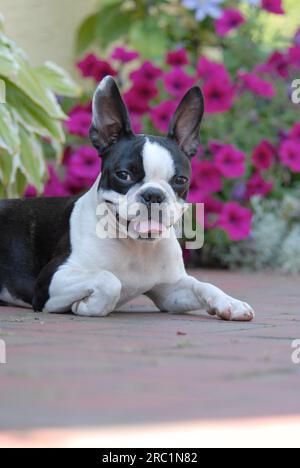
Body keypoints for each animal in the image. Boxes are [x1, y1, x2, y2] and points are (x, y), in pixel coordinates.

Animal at [0, 78, 254, 324]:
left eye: (180, 180)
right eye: (124, 175)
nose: (153, 194)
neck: (135, 246)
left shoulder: (170, 291)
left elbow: (202, 284)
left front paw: (229, 302)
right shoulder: (51, 280)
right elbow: (109, 280)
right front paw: (86, 305)